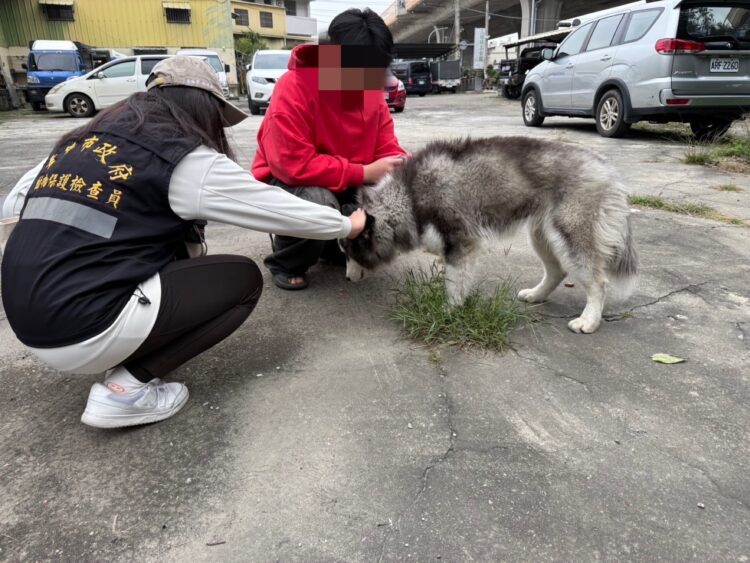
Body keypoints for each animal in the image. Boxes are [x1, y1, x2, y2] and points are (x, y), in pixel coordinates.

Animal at [340, 135, 640, 334]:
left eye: (350, 253)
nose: (347, 278)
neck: (409, 196)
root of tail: (608, 170)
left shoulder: (462, 243)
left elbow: (454, 284)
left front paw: (448, 312)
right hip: (542, 235)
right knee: (557, 270)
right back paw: (537, 294)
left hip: (570, 236)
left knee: (599, 282)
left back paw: (589, 320)